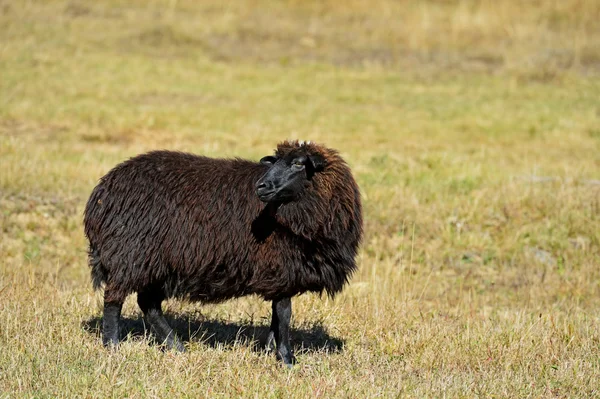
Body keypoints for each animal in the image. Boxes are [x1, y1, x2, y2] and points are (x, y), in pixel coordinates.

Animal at [84, 140, 364, 366]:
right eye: (276, 163)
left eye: (298, 163)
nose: (261, 186)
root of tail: (101, 192)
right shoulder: (282, 267)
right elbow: (284, 314)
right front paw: (287, 359)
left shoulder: (280, 273)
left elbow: (276, 316)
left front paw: (269, 350)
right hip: (130, 254)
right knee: (114, 300)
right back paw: (113, 345)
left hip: (156, 262)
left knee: (149, 304)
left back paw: (177, 347)